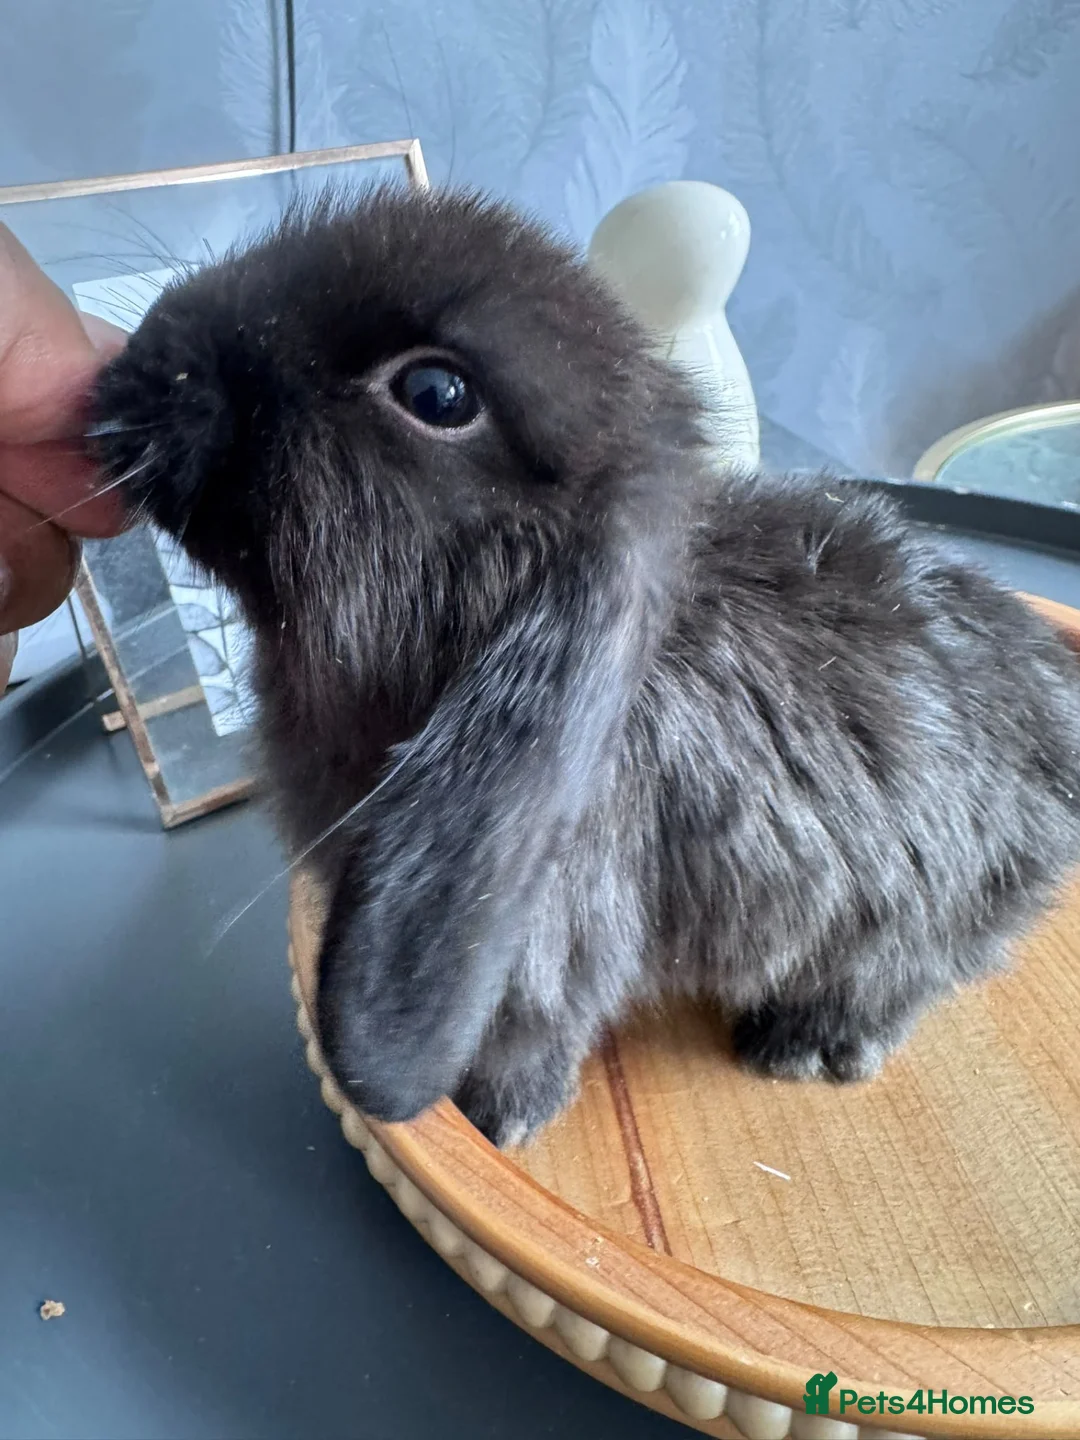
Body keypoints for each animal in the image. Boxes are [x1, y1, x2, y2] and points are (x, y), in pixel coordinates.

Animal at [91, 185, 1080, 1147]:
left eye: (436, 393)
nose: (141, 362)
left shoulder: (553, 943)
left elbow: (531, 1035)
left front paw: (494, 1122)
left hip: (917, 922)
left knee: (898, 980)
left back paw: (805, 1046)